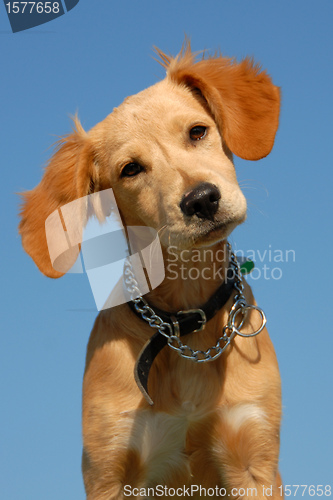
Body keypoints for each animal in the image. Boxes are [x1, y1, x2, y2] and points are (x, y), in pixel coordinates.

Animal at [19, 44, 282, 500]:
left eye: (197, 131)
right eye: (131, 169)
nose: (202, 200)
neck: (185, 328)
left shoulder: (255, 457)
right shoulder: (110, 468)